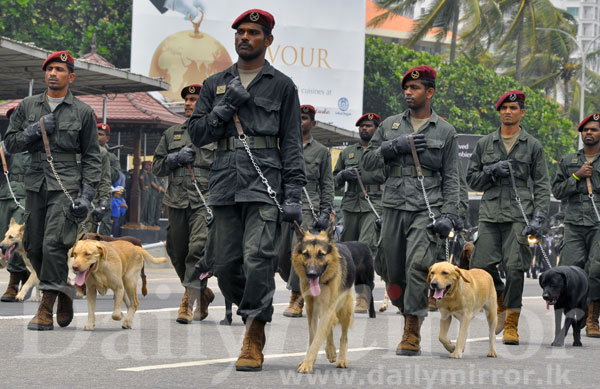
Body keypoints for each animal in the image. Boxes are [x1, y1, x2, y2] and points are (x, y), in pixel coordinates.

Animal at [292, 223, 354, 374]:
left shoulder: (327, 310)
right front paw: (309, 361)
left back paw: (342, 359)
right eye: (306, 254)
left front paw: (307, 364)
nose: (312, 274)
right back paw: (330, 350)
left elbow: (318, 338)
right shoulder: (312, 310)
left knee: (344, 336)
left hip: (345, 310)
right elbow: (313, 337)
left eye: (321, 254)